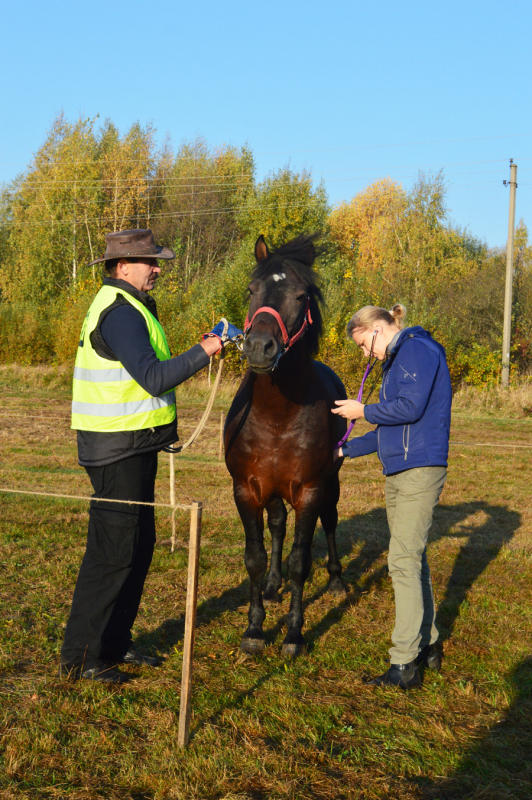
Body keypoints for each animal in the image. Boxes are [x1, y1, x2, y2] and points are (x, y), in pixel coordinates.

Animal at [225, 231, 348, 656]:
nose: (259, 347)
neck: (277, 416)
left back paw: (337, 580)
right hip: (274, 491)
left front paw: (294, 635)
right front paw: (254, 630)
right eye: (251, 289)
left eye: (299, 295)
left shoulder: (310, 491)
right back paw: (273, 586)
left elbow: (300, 562)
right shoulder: (246, 490)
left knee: (331, 521)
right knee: (278, 526)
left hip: (330, 485)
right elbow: (255, 557)